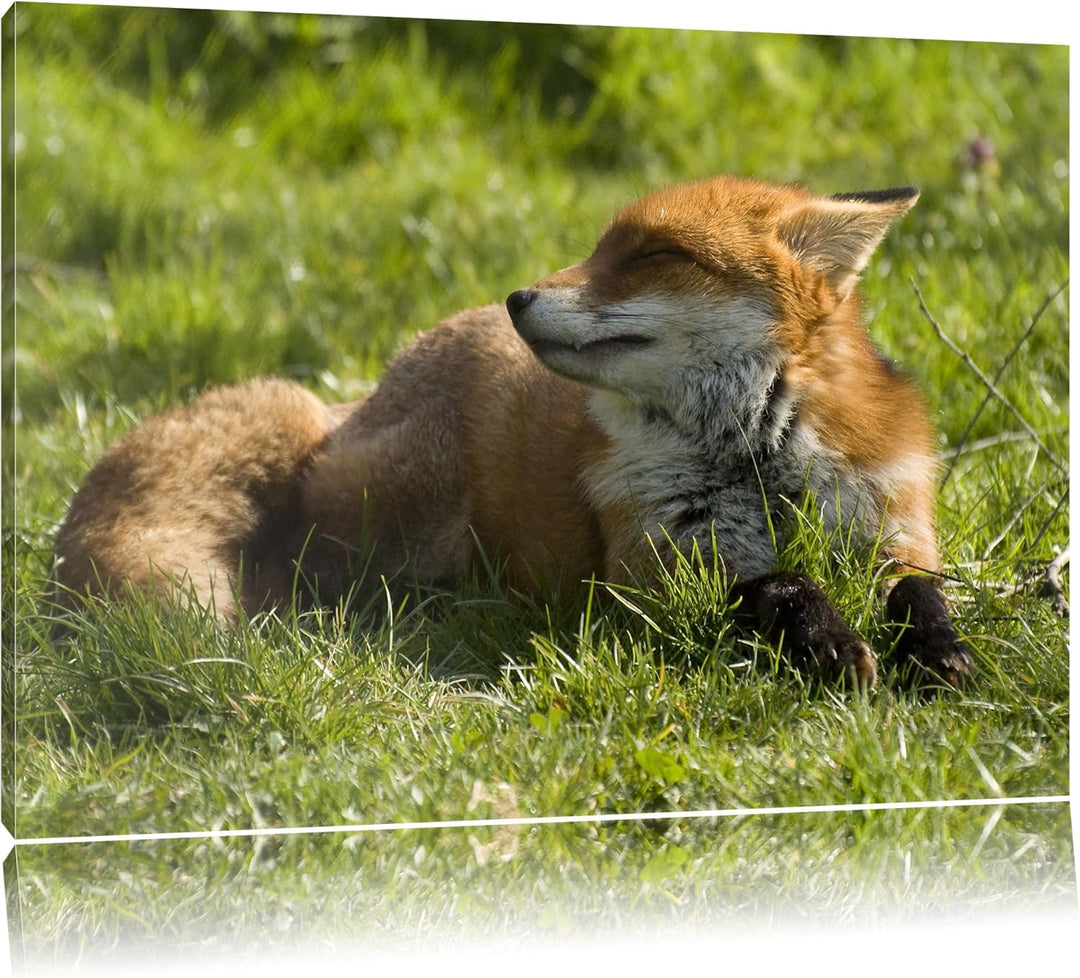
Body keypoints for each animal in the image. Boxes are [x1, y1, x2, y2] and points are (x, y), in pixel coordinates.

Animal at [53, 174, 971, 688]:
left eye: (651, 256)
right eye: (598, 248)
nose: (517, 297)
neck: (755, 461)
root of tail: (353, 401)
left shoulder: (891, 523)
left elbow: (918, 590)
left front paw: (939, 651)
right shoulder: (652, 575)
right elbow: (780, 585)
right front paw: (829, 643)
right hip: (410, 514)